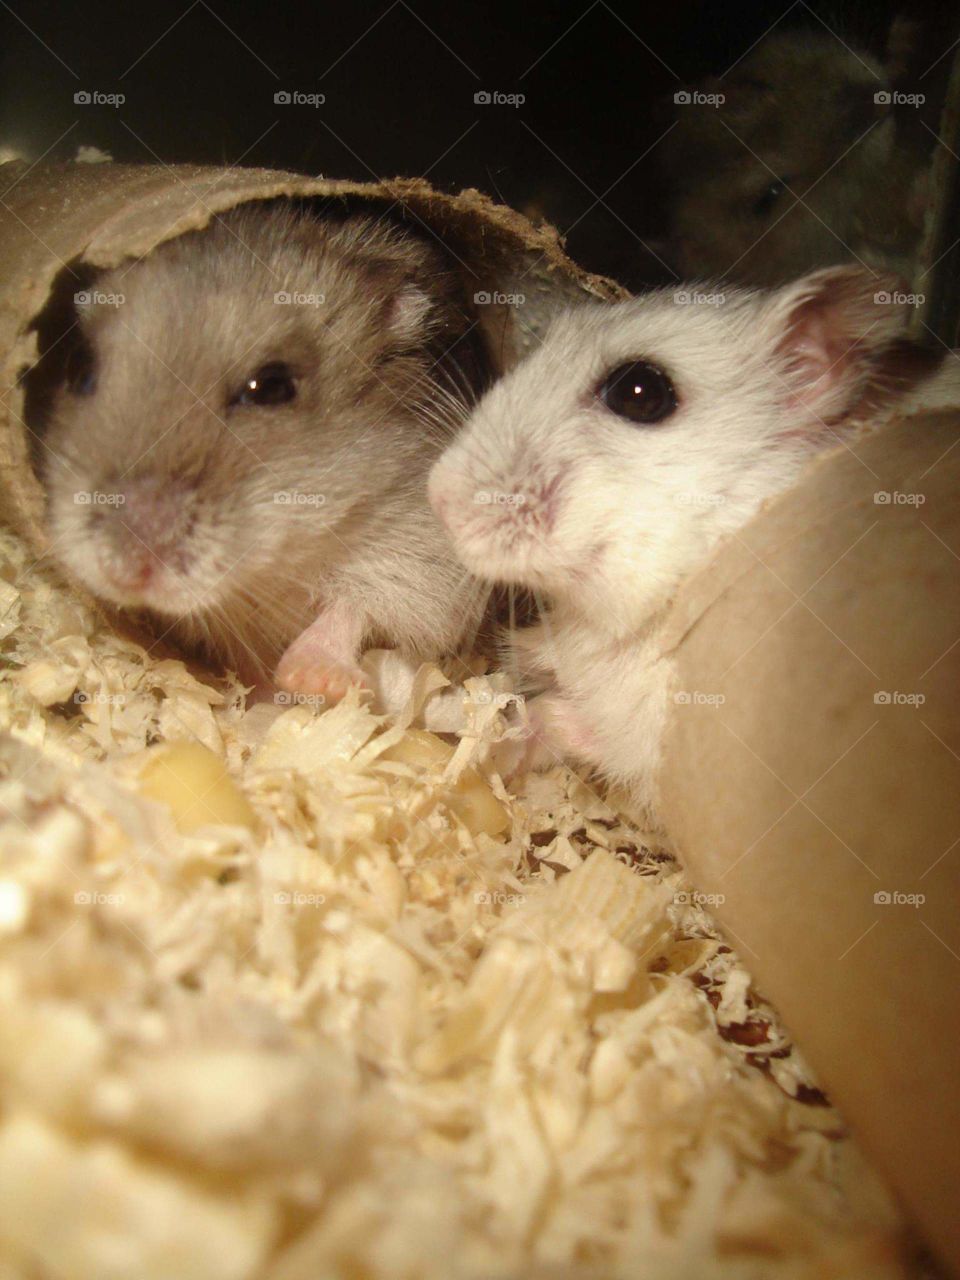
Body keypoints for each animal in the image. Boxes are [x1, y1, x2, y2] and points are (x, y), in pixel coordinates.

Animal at [42, 202, 491, 698]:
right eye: (79, 368)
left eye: (273, 387)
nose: (122, 572)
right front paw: (260, 692)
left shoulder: (420, 552)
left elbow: (355, 605)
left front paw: (317, 682)